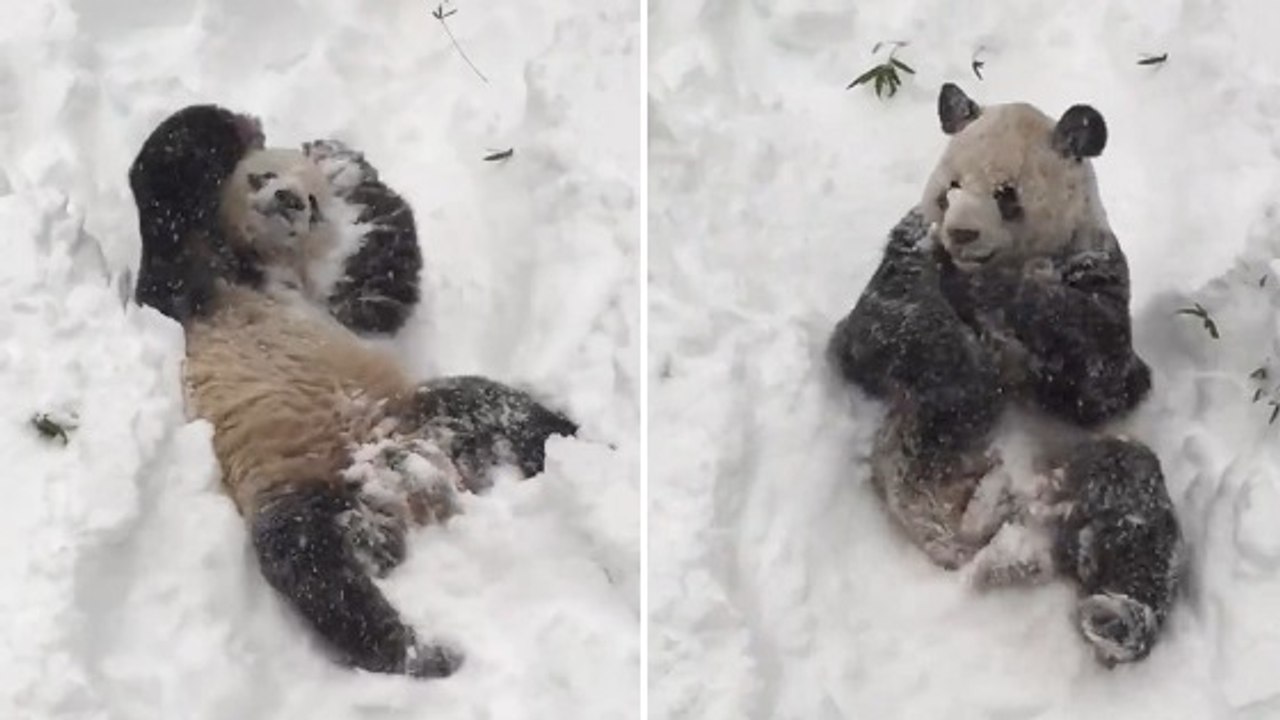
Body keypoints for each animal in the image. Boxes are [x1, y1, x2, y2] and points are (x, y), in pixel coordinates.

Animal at [129, 104, 578, 678]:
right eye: (262, 176)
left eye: (315, 204)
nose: (289, 200)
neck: (259, 266)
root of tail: (402, 490)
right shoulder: (188, 290)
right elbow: (161, 194)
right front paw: (239, 127)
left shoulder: (341, 310)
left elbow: (386, 282)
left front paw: (342, 162)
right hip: (294, 480)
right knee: (313, 564)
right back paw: (421, 650)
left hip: (430, 416)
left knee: (511, 414)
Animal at [827, 84, 1182, 665]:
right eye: (950, 188)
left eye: (1006, 194)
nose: (961, 233)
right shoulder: (904, 263)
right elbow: (871, 336)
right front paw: (964, 363)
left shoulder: (1096, 266)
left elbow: (1104, 375)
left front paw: (1009, 291)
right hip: (922, 468)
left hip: (1099, 472)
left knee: (1135, 506)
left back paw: (1118, 615)